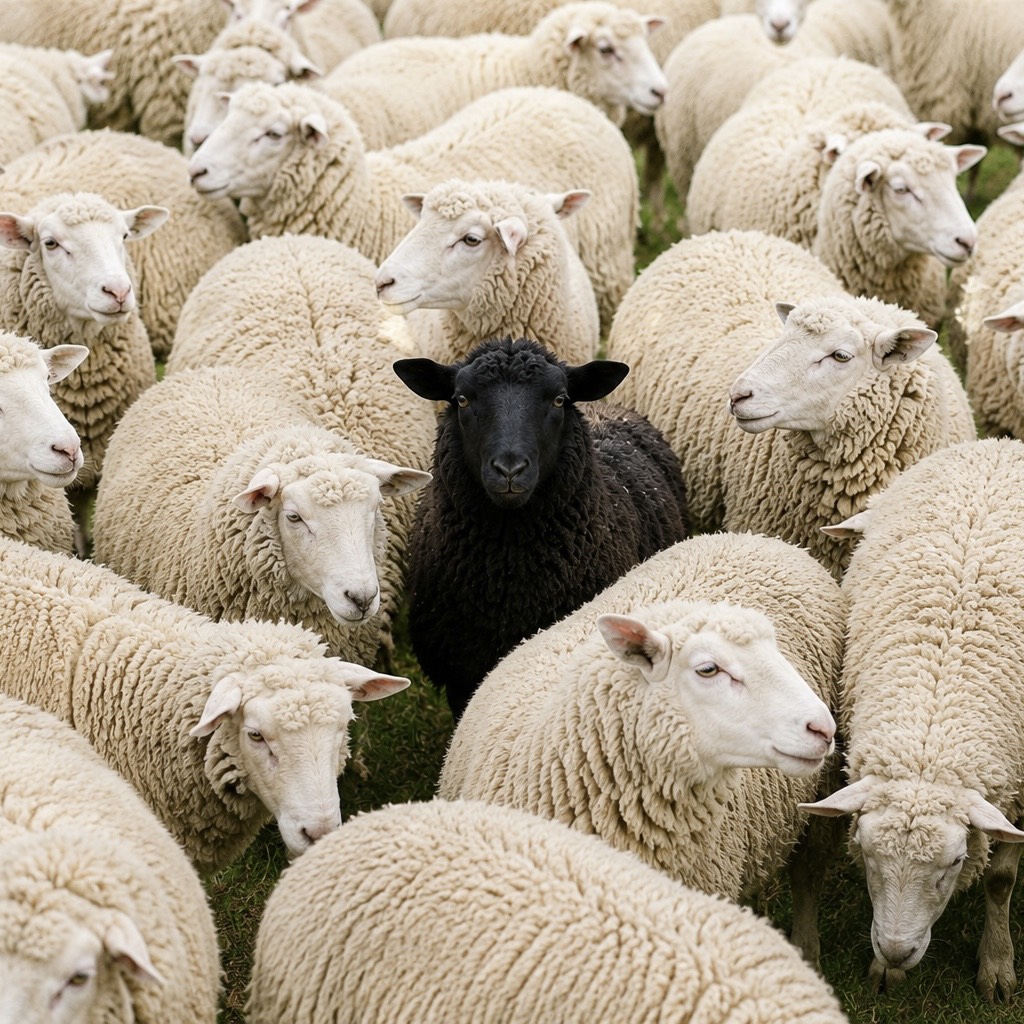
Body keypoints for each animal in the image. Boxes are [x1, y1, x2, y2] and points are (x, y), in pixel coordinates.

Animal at [804, 439, 1024, 1001]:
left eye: (953, 864)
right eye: (865, 854)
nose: (897, 949)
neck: (932, 732)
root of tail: (998, 446)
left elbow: (1000, 882)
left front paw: (996, 964)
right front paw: (888, 971)